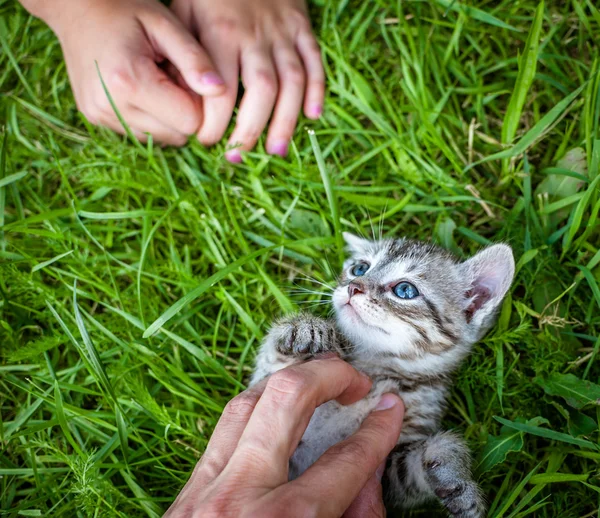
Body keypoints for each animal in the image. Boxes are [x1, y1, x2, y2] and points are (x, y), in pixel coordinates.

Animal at [251, 235, 512, 518]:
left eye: (405, 290)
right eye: (360, 269)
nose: (353, 286)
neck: (376, 365)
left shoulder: (388, 474)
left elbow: (414, 467)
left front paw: (456, 478)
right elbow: (272, 368)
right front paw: (304, 327)